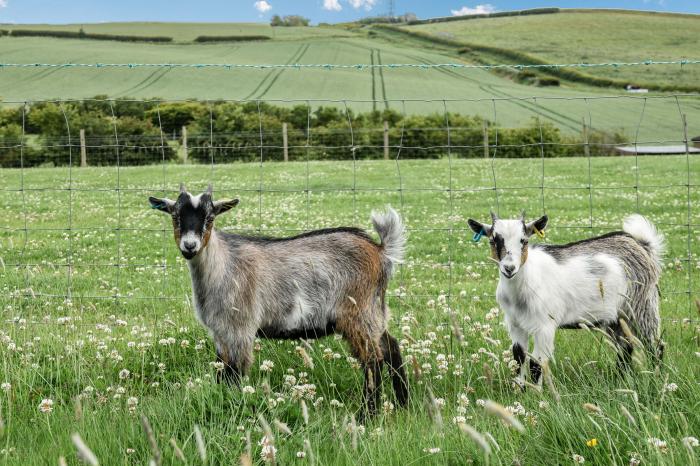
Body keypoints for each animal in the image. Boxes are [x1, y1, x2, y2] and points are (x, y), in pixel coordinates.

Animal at [149, 184, 410, 416]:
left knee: (373, 360)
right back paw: (402, 402)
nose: (189, 246)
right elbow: (221, 371)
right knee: (391, 347)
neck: (223, 265)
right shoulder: (221, 333)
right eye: (175, 216)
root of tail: (381, 251)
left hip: (358, 313)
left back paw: (368, 414)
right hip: (373, 313)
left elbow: (234, 374)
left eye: (210, 217)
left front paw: (233, 408)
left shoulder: (240, 329)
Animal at [468, 212, 664, 386]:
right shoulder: (515, 324)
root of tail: (641, 244)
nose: (509, 268)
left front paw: (537, 396)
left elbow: (536, 363)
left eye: (524, 241)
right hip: (617, 317)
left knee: (656, 345)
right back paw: (620, 380)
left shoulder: (544, 326)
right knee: (625, 347)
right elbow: (519, 358)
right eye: (493, 240)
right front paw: (519, 391)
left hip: (641, 305)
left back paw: (657, 379)